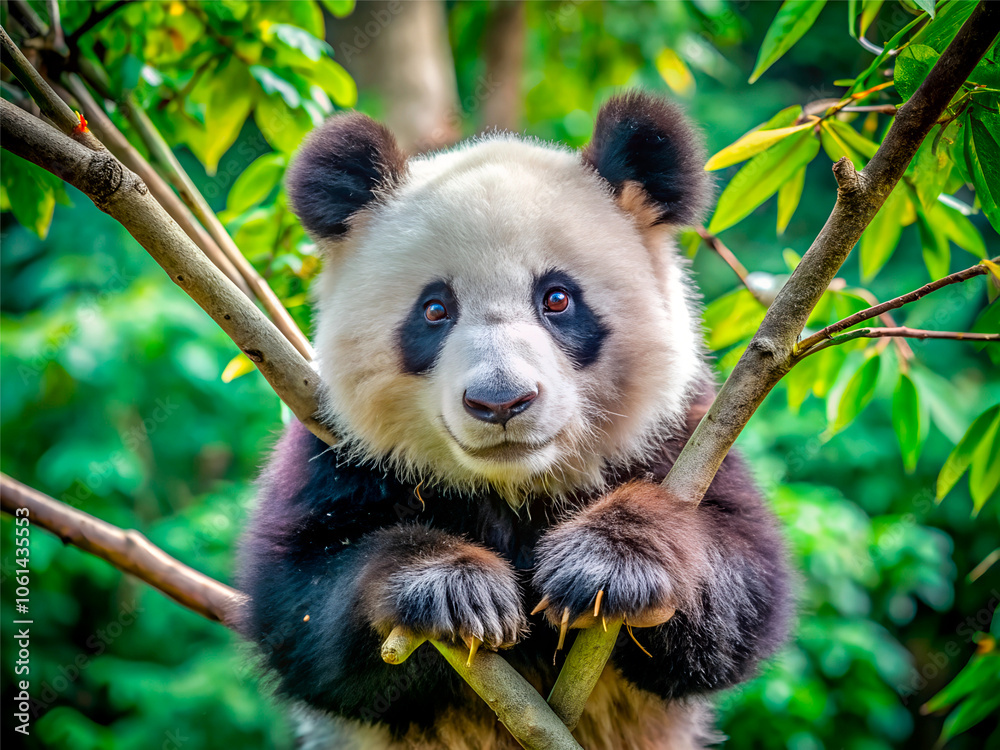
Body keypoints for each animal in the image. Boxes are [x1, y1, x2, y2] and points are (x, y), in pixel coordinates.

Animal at [238, 91, 791, 750]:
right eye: (435, 310)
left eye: (557, 298)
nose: (501, 402)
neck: (516, 485)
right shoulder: (338, 453)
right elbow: (296, 599)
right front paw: (455, 589)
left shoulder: (684, 430)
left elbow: (745, 586)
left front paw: (609, 563)